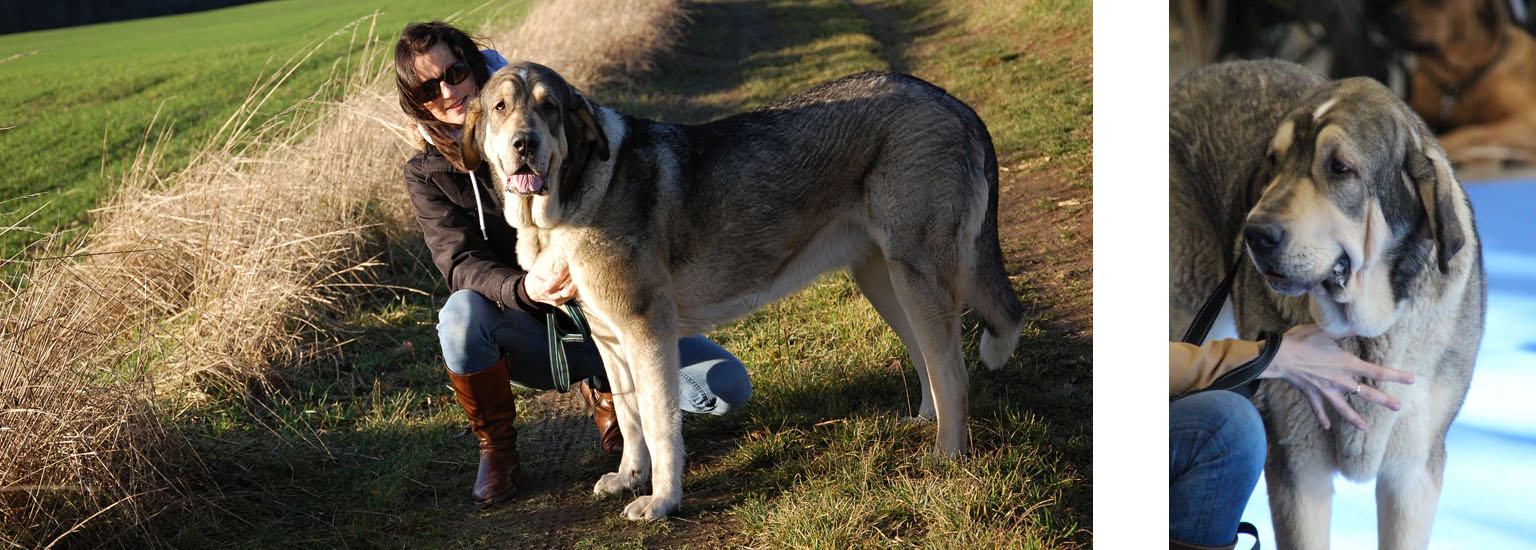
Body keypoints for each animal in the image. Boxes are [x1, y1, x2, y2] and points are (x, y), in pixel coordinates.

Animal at [460, 63, 1026, 519]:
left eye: (549, 108)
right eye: (501, 108)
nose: (525, 144)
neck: (568, 200)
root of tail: (953, 103)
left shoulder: (647, 335)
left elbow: (661, 428)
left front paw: (662, 502)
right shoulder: (611, 344)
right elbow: (631, 420)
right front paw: (630, 478)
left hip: (916, 275)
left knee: (953, 371)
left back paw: (947, 456)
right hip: (883, 280)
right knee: (927, 358)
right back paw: (922, 423)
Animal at [1167, 59, 1480, 546]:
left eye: (1340, 169)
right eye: (1273, 162)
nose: (1254, 235)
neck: (1365, 333)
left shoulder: (1412, 473)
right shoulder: (1296, 465)